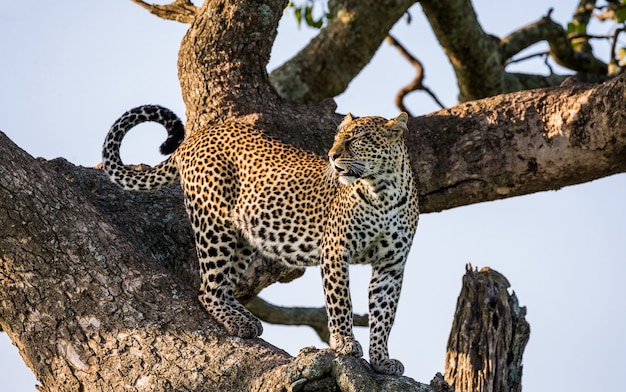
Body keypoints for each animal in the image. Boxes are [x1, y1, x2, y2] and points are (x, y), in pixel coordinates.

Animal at [101, 105, 420, 376]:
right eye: (337, 138)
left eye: (359, 139)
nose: (332, 155)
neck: (383, 192)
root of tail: (194, 138)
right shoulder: (336, 251)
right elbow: (341, 302)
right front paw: (344, 343)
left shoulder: (391, 266)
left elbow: (384, 315)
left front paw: (381, 360)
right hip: (214, 222)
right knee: (207, 290)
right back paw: (236, 322)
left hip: (243, 238)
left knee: (224, 286)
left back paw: (246, 318)